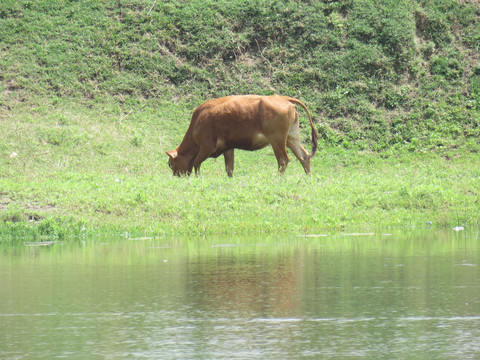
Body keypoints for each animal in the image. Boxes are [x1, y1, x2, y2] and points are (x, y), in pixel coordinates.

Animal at [166, 93, 318, 176]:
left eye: (171, 164)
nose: (176, 176)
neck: (198, 121)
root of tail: (284, 99)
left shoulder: (206, 146)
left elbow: (196, 162)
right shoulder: (228, 148)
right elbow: (229, 169)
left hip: (277, 140)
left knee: (283, 160)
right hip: (292, 137)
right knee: (304, 156)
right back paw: (308, 180)